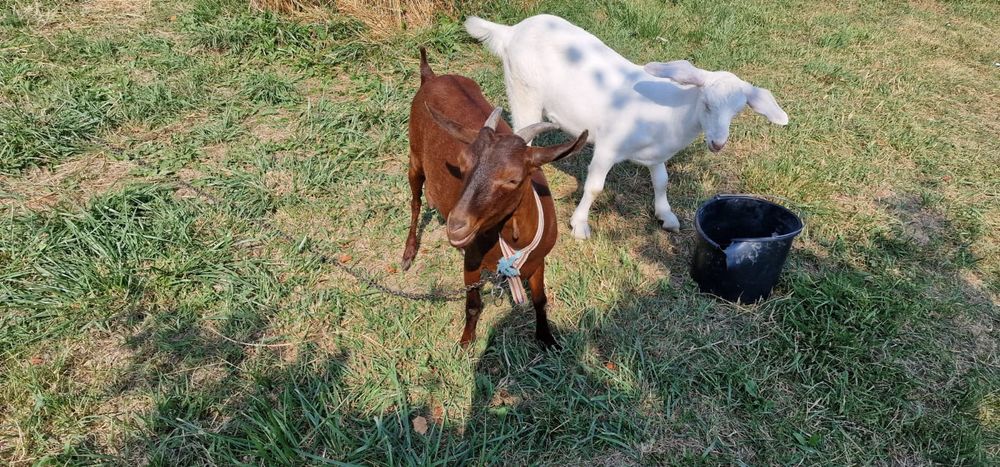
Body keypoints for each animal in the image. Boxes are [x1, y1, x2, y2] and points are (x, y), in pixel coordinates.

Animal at [402, 48, 589, 348]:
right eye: (462, 164)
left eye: (513, 179)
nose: (456, 226)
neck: (512, 240)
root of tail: (430, 77)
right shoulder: (471, 262)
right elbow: (472, 305)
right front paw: (466, 342)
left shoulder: (538, 261)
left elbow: (540, 299)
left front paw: (547, 339)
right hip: (415, 158)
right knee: (415, 203)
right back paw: (408, 252)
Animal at [465, 14, 789, 239]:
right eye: (707, 104)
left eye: (737, 111)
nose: (718, 144)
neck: (670, 114)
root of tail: (511, 31)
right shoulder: (608, 146)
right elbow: (595, 187)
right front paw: (579, 225)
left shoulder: (656, 154)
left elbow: (662, 181)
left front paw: (666, 216)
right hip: (523, 89)